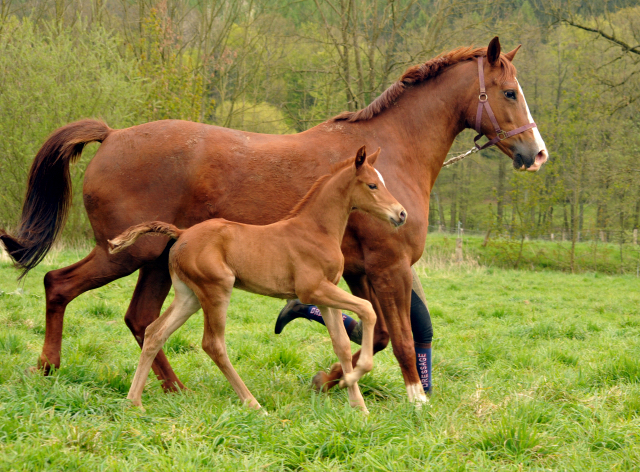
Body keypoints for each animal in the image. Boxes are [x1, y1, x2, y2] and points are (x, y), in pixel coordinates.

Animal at [107, 148, 402, 412]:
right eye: (372, 185)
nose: (401, 214)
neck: (316, 230)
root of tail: (181, 233)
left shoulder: (326, 296)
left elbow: (341, 345)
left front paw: (358, 405)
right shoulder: (313, 290)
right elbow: (368, 309)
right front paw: (356, 375)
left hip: (188, 296)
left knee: (155, 332)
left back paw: (134, 402)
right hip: (217, 289)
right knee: (213, 344)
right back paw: (253, 403)